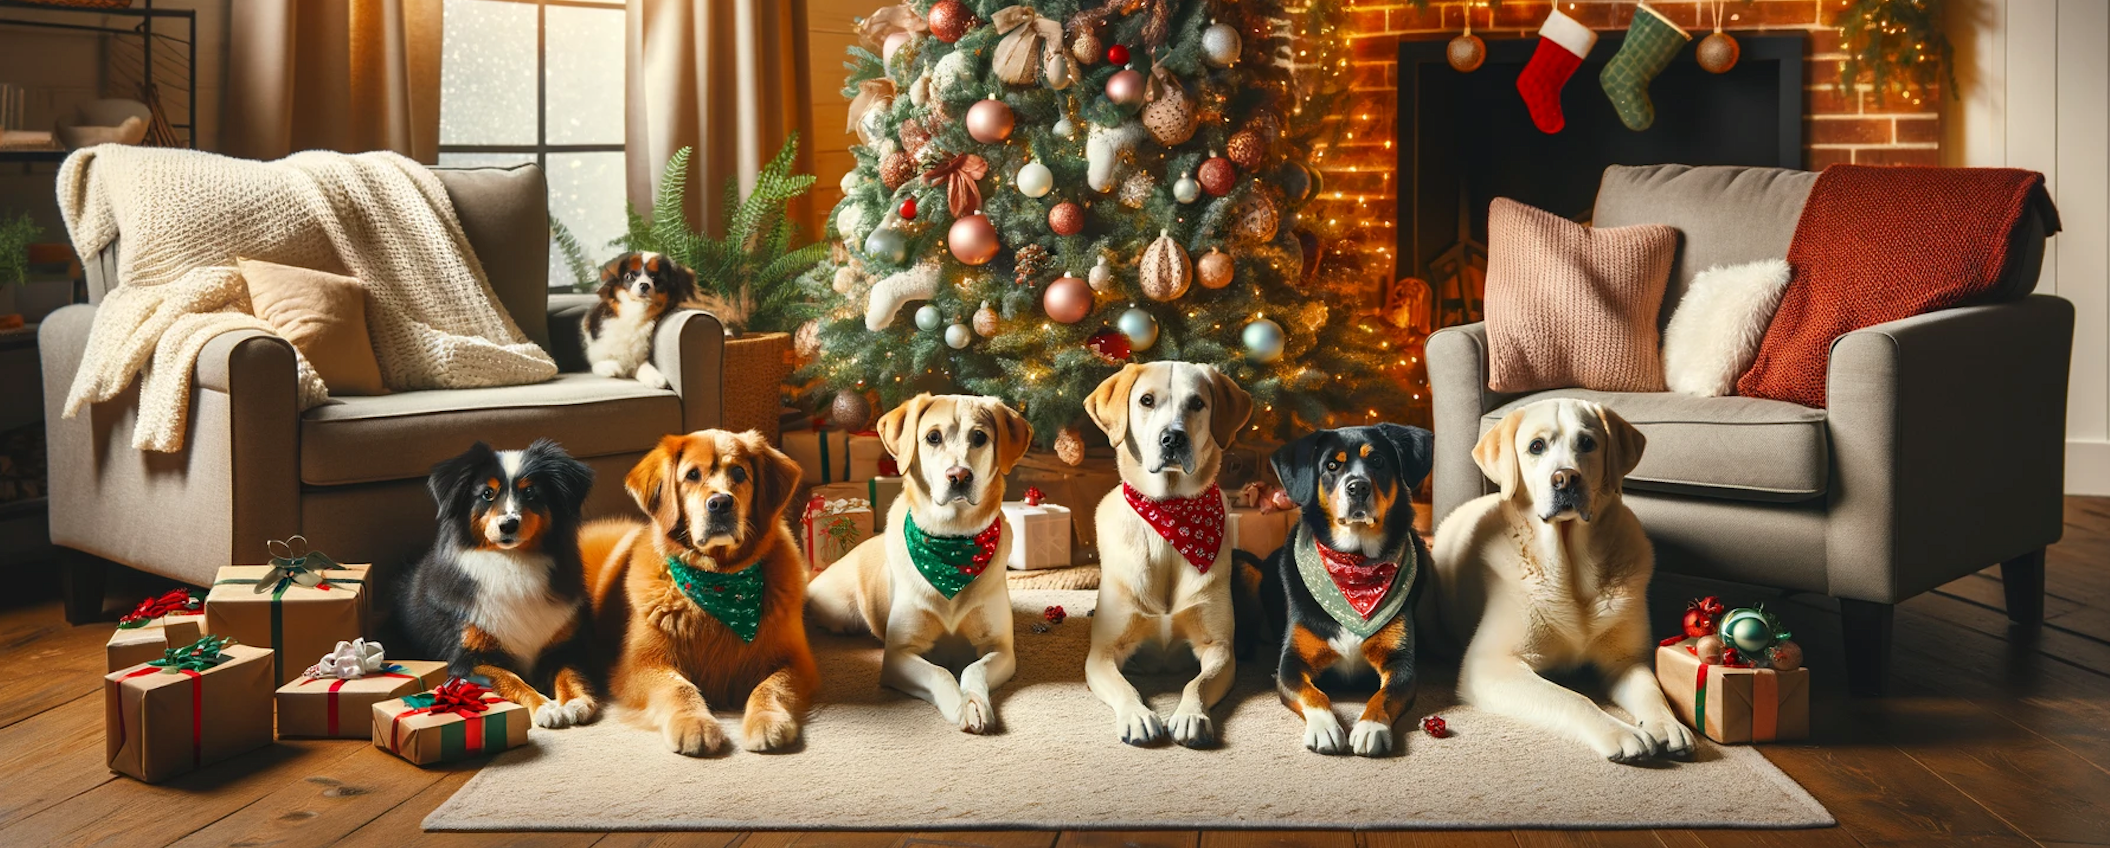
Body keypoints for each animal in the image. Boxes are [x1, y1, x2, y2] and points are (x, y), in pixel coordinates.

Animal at [582, 430, 818, 755]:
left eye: (739, 473)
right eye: (692, 475)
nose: (720, 503)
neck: (719, 582)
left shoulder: (796, 660)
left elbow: (772, 687)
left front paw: (768, 720)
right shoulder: (638, 666)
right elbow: (677, 687)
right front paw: (694, 723)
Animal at [806, 394, 1029, 734]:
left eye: (979, 437)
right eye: (933, 437)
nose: (959, 476)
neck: (951, 547)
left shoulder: (1001, 648)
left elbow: (973, 670)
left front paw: (974, 702)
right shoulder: (898, 655)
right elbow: (939, 672)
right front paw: (958, 705)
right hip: (839, 609)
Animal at [1088, 360, 1249, 746]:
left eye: (1197, 403)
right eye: (1146, 400)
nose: (1173, 438)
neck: (1170, 518)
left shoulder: (1218, 647)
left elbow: (1197, 683)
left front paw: (1190, 715)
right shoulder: (1101, 652)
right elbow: (1125, 686)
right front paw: (1138, 716)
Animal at [1240, 421, 1443, 755]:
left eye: (1377, 461)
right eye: (1332, 466)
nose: (1357, 487)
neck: (1355, 567)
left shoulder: (1401, 662)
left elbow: (1383, 695)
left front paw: (1371, 726)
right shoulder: (1292, 664)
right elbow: (1313, 693)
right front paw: (1325, 727)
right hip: (1246, 566)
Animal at [1426, 396, 1687, 763]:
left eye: (1588, 443)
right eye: (1536, 446)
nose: (1566, 478)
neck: (1572, 571)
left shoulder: (1626, 659)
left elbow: (1653, 690)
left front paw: (1667, 724)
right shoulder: (1490, 665)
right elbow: (1573, 697)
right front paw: (1621, 732)